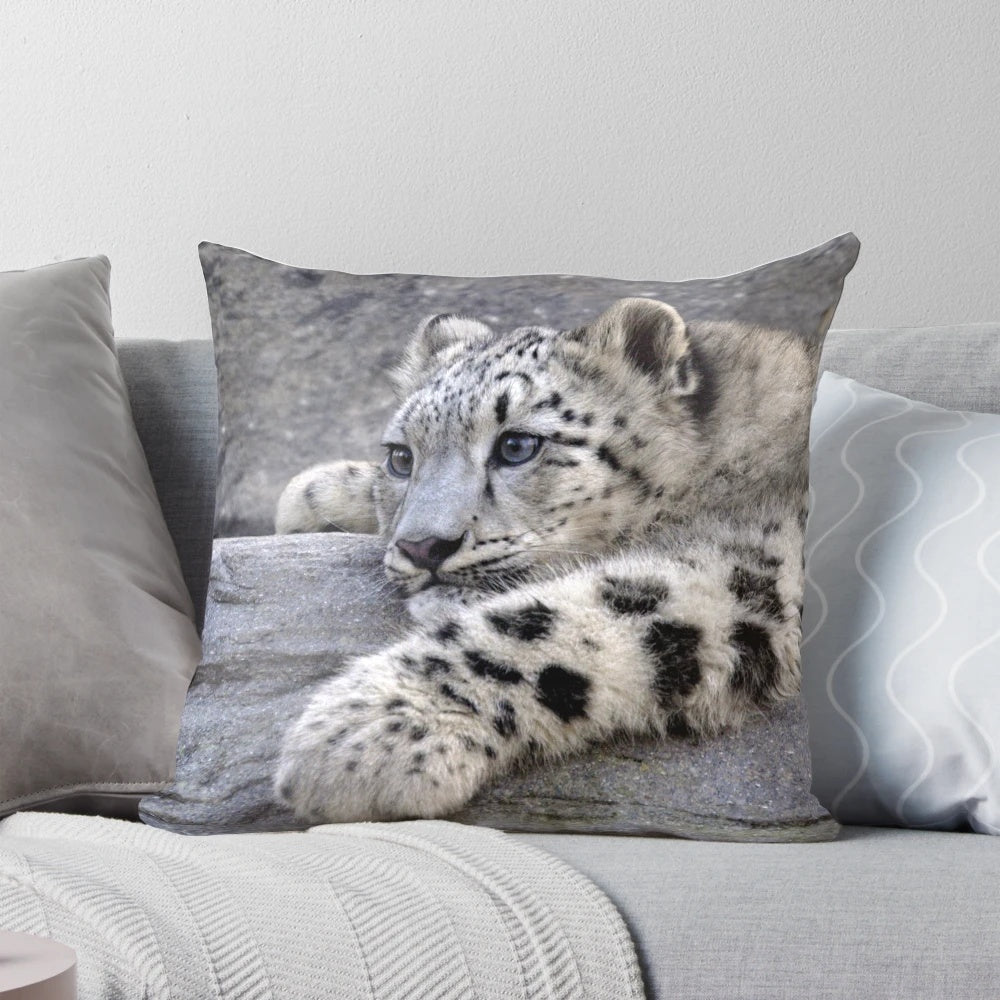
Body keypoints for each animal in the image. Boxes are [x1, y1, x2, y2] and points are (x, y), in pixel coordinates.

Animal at [273, 297, 817, 824]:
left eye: (517, 445)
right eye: (400, 457)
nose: (423, 545)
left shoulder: (758, 559)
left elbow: (552, 621)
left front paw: (355, 733)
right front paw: (313, 495)